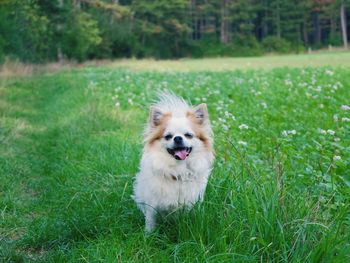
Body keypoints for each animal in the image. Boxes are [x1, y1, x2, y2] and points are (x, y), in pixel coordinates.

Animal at [131, 93, 213, 233]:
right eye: (168, 136)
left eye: (188, 135)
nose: (178, 138)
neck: (178, 170)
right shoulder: (152, 204)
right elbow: (150, 220)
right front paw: (148, 235)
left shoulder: (192, 203)